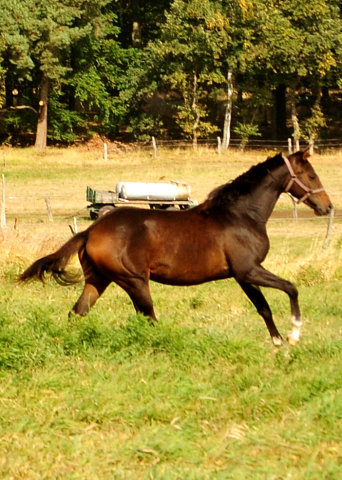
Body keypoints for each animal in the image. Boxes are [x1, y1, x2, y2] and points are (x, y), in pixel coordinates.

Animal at [18, 149, 332, 344]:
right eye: (311, 176)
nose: (327, 207)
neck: (241, 214)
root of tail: (91, 230)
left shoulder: (243, 276)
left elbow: (264, 308)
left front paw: (278, 342)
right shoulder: (248, 270)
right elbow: (290, 288)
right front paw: (293, 335)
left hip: (99, 279)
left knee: (77, 312)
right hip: (134, 281)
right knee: (148, 317)